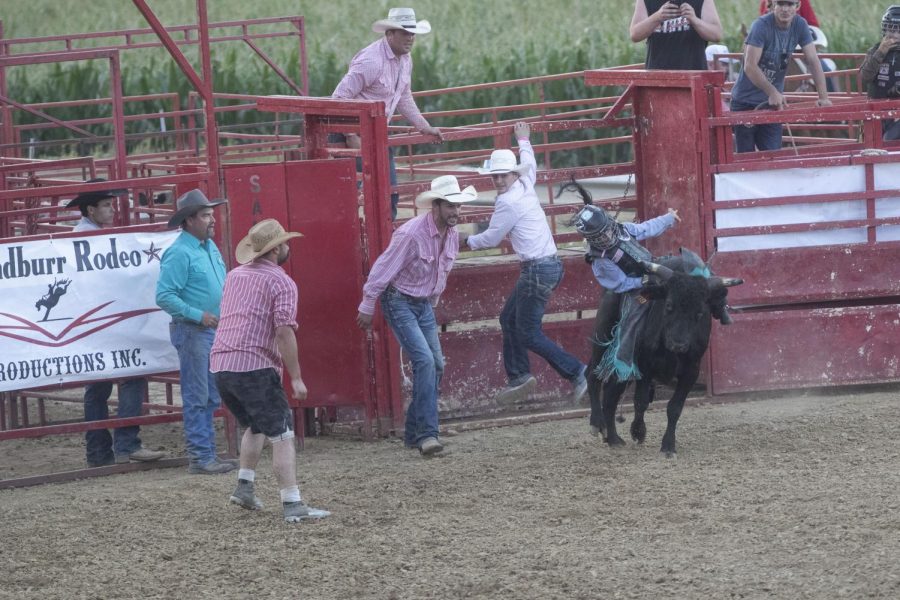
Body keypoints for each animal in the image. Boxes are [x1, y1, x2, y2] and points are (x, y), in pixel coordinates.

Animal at [588, 255, 740, 458]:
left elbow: (674, 408)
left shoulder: (691, 371)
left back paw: (613, 438)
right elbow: (641, 401)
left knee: (611, 394)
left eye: (700, 312)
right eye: (668, 306)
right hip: (602, 337)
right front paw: (638, 431)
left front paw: (668, 445)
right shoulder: (645, 367)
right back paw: (597, 423)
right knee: (592, 376)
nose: (679, 344)